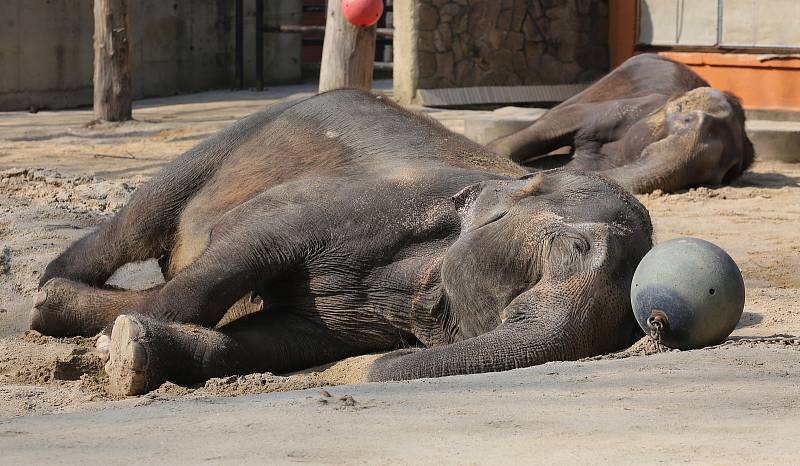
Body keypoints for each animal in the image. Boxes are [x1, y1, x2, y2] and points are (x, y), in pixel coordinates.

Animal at [32, 89, 648, 396]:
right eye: (573, 249)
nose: (377, 368)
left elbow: (272, 340)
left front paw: (132, 350)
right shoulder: (358, 204)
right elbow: (242, 251)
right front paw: (110, 348)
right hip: (230, 138)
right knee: (138, 222)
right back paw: (44, 300)